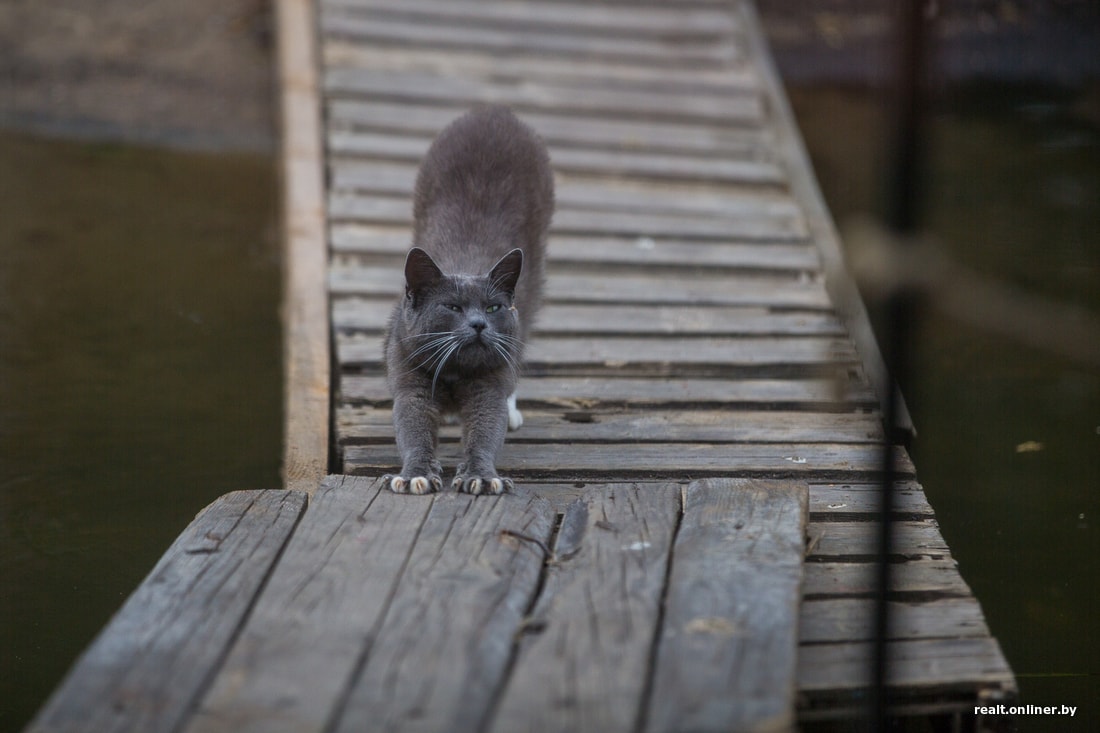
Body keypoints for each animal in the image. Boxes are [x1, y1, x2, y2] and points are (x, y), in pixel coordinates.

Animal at [382, 105, 554, 493]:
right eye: (452, 307)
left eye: (492, 307)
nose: (479, 324)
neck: (454, 373)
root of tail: (495, 113)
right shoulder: (409, 376)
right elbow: (413, 429)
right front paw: (414, 475)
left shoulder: (488, 385)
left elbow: (486, 429)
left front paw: (481, 476)